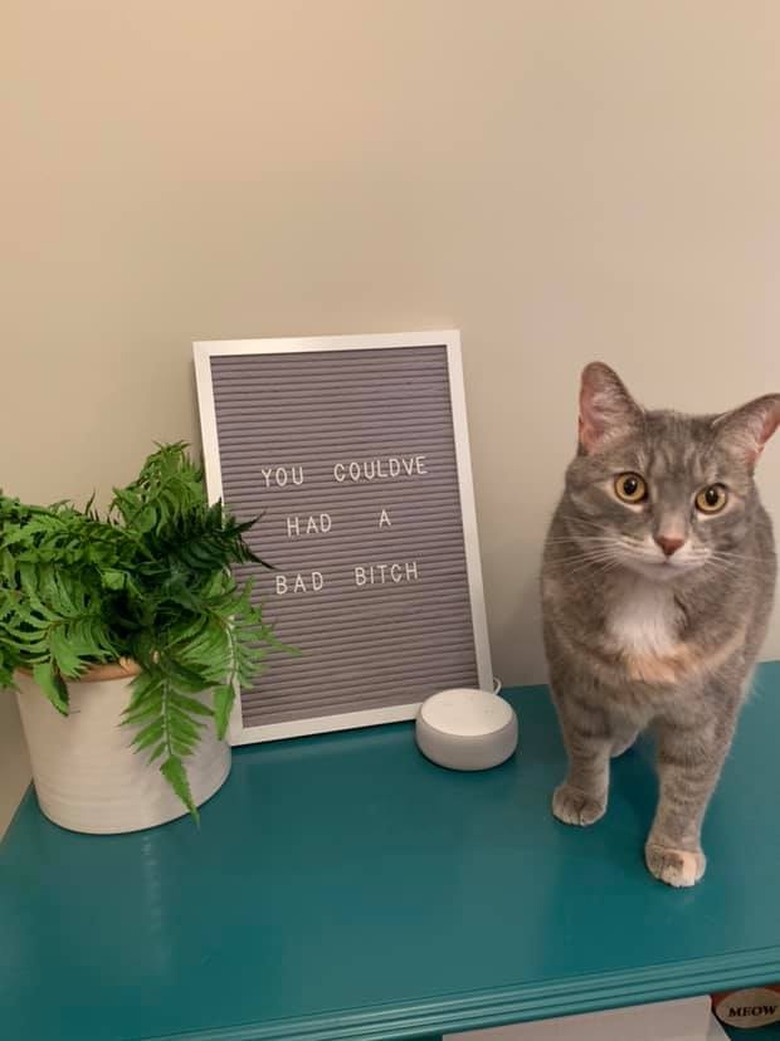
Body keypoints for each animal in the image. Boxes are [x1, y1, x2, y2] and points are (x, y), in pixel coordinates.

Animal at [541, 364, 778, 886]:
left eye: (711, 498)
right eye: (630, 487)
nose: (670, 540)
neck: (647, 599)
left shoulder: (709, 710)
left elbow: (692, 780)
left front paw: (674, 848)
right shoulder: (573, 677)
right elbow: (582, 742)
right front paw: (584, 792)